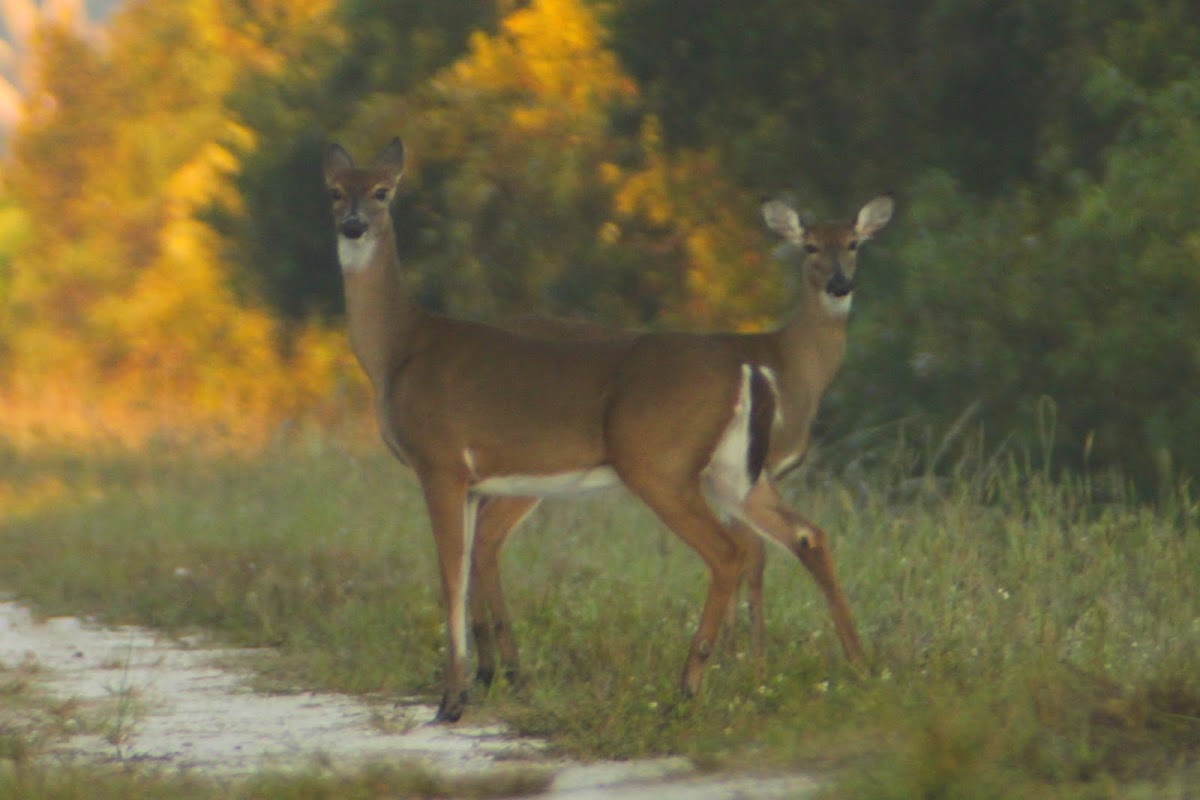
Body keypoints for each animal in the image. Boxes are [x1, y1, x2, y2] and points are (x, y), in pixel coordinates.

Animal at [465, 195, 892, 690]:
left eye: (854, 243)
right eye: (809, 246)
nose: (840, 284)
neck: (791, 366)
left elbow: (765, 548)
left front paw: (739, 654)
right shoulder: (756, 467)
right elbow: (756, 555)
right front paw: (749, 658)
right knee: (487, 534)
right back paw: (500, 666)